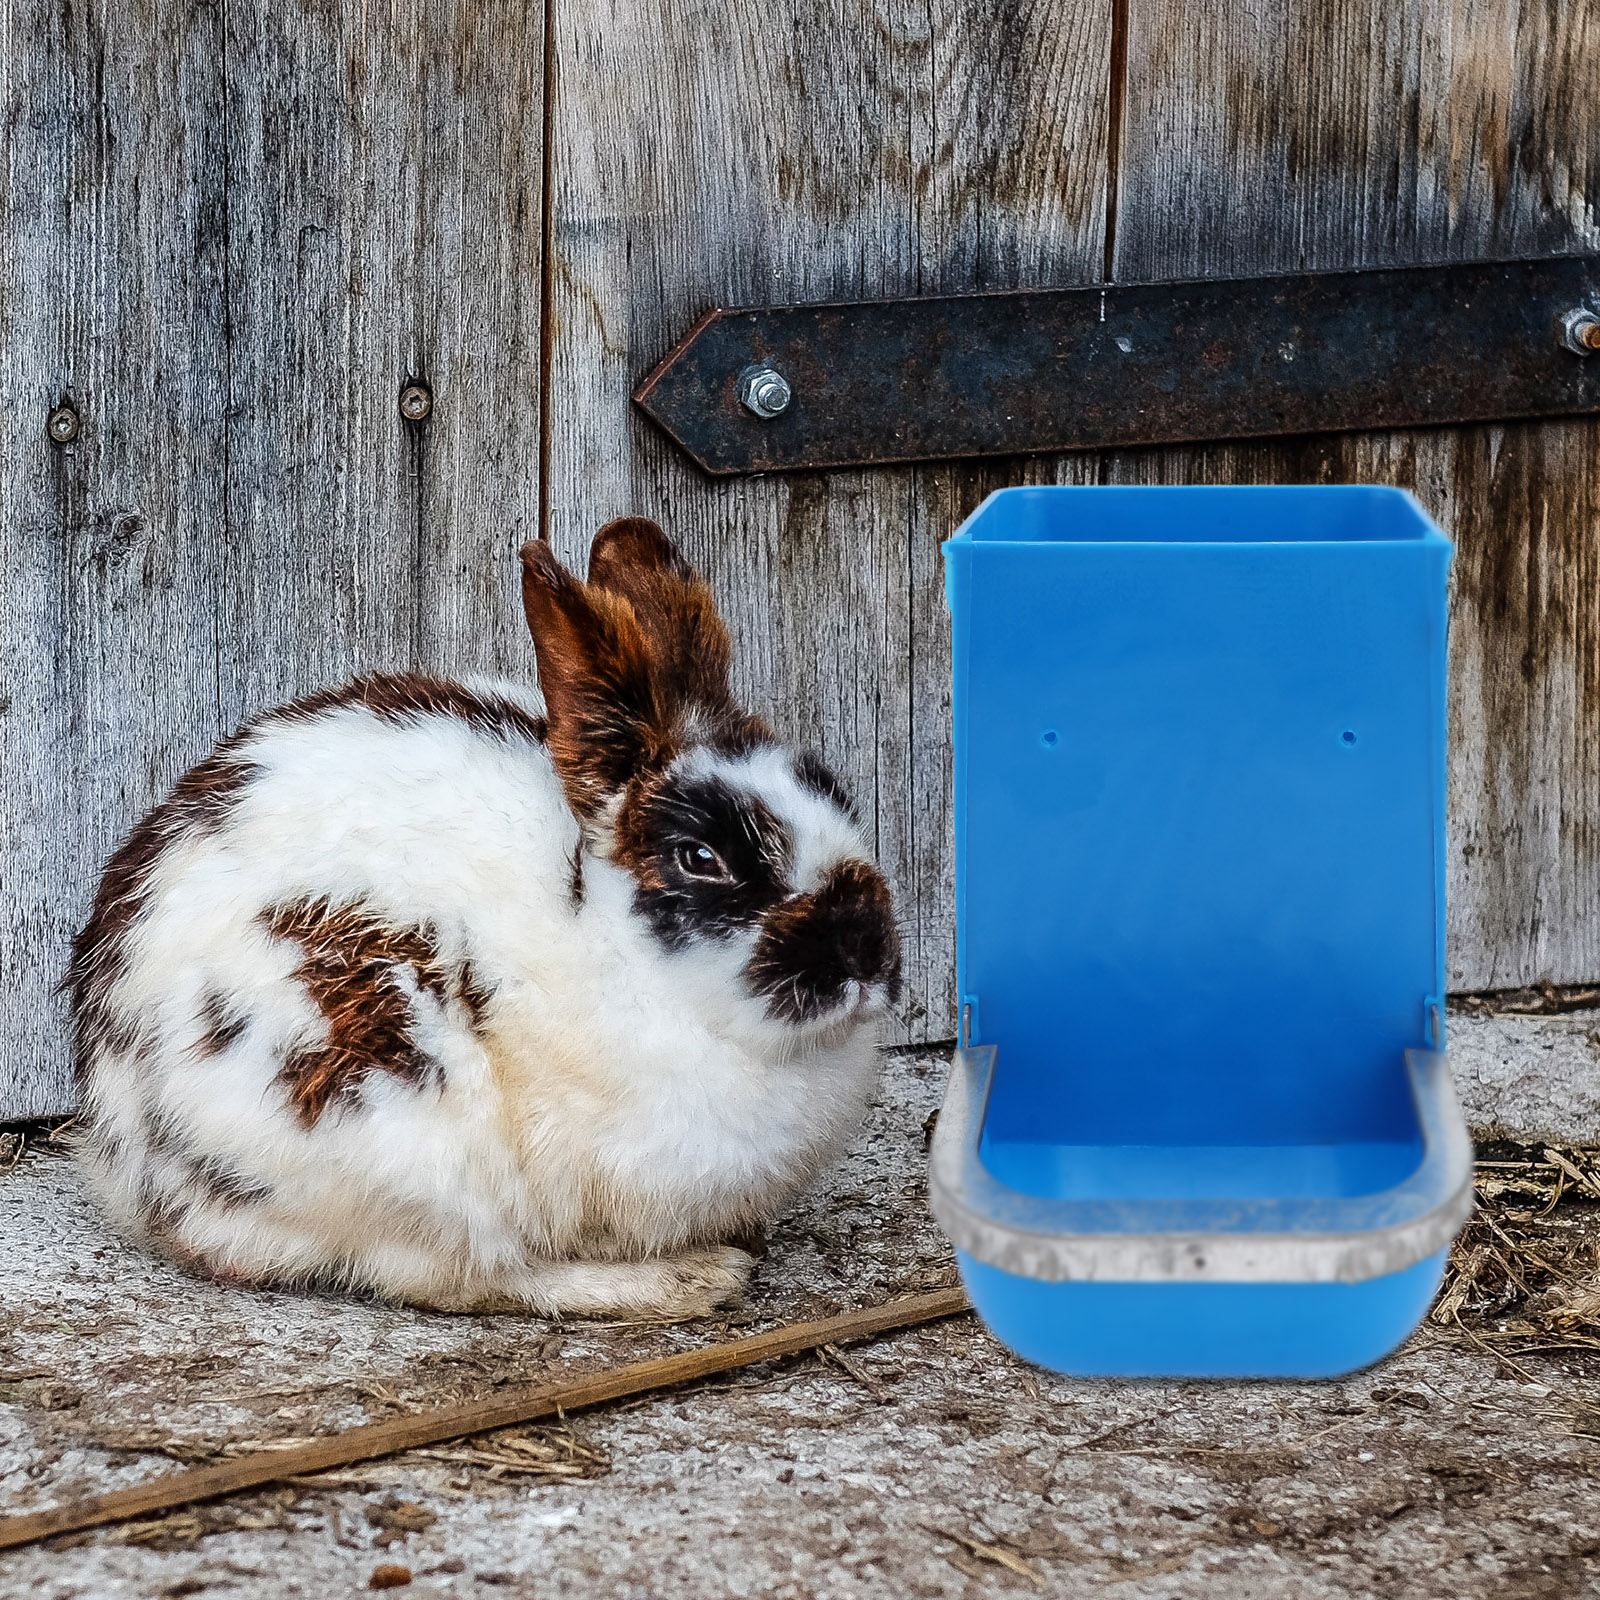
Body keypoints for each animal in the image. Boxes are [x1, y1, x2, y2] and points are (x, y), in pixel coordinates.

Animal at [64, 518, 901, 1319]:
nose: (865, 950)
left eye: (836, 795)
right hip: (398, 1115)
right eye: (701, 858)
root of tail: (127, 1152)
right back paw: (686, 1280)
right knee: (462, 1275)